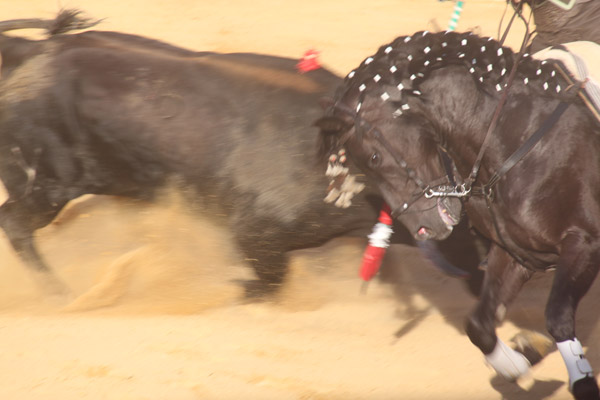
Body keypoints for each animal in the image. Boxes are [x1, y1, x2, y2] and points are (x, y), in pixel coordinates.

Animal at [0, 10, 482, 298]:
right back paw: (60, 293)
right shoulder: (255, 236)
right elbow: (268, 283)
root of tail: (33, 52)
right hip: (47, 183)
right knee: (16, 222)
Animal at [316, 31, 596, 400]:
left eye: (374, 157)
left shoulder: (583, 244)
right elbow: (479, 325)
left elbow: (558, 318)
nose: (424, 229)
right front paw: (517, 362)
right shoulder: (515, 253)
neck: (516, 137)